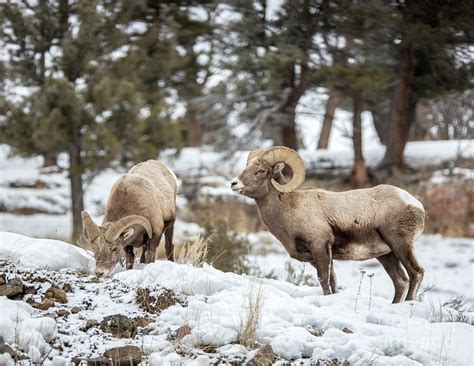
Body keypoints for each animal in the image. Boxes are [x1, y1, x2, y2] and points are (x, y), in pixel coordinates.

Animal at [231, 147, 424, 304]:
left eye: (261, 170)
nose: (234, 184)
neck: (287, 208)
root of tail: (416, 205)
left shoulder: (319, 246)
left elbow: (323, 279)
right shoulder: (316, 257)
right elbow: (332, 281)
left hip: (399, 245)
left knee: (416, 273)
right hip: (386, 255)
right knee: (400, 281)